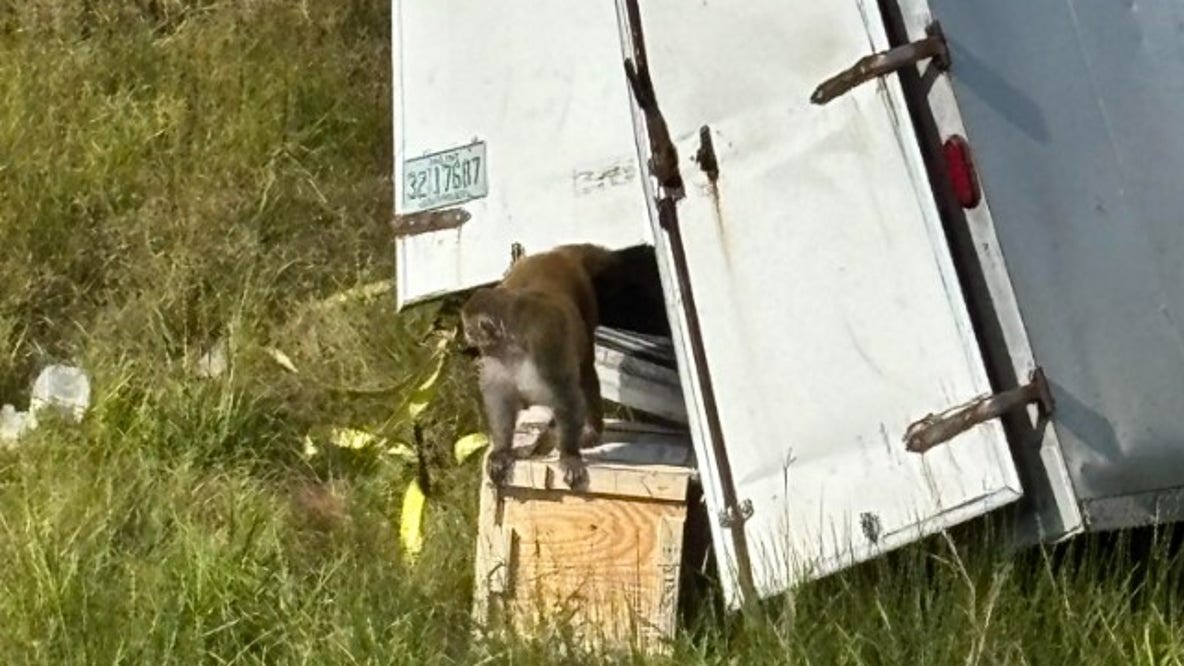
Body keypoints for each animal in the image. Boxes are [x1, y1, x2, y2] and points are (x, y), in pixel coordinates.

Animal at [461, 243, 619, 489]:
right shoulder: (495, 355)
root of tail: (555, 254)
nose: (466, 337)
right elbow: (501, 397)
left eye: (469, 329)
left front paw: (569, 455)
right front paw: (502, 450)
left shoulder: (544, 341)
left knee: (585, 369)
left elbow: (566, 394)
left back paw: (590, 431)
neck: (512, 342)